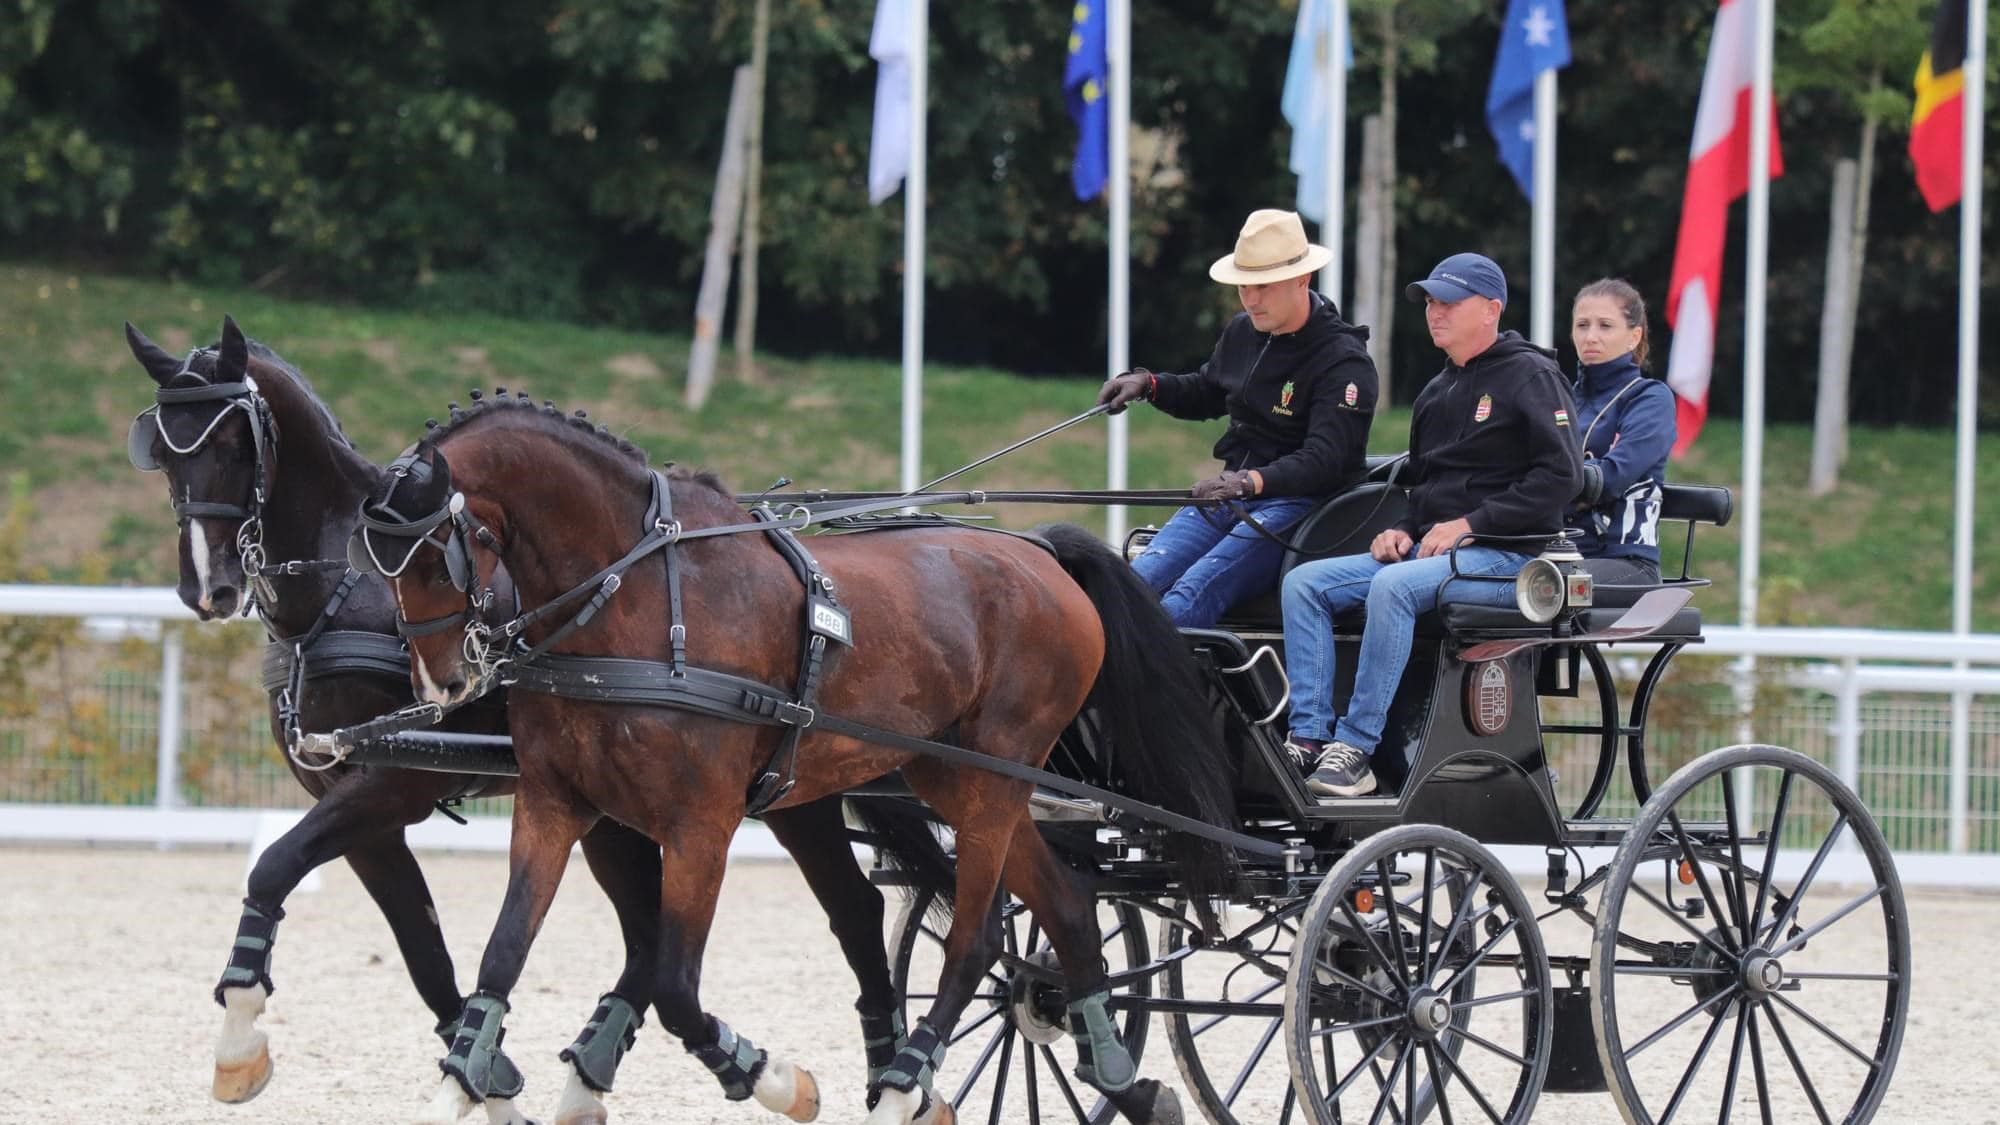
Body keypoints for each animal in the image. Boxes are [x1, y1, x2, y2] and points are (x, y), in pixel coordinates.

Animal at [125, 318, 952, 1120]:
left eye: (232, 444)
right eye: (162, 453)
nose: (208, 588)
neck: (345, 589)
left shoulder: (398, 782)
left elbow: (276, 864)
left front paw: (244, 1041)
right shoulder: (361, 807)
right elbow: (417, 945)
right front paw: (485, 1076)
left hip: (788, 796)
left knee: (854, 910)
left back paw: (892, 1075)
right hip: (626, 811)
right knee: (654, 938)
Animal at [356, 394, 1232, 1120]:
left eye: (436, 553)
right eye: (378, 560)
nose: (444, 679)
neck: (639, 600)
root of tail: (1042, 555)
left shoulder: (700, 823)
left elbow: (676, 987)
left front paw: (776, 1078)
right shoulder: (554, 801)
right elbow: (503, 953)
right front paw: (459, 1084)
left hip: (992, 774)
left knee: (974, 940)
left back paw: (905, 1085)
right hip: (960, 778)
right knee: (1067, 910)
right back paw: (1122, 1077)